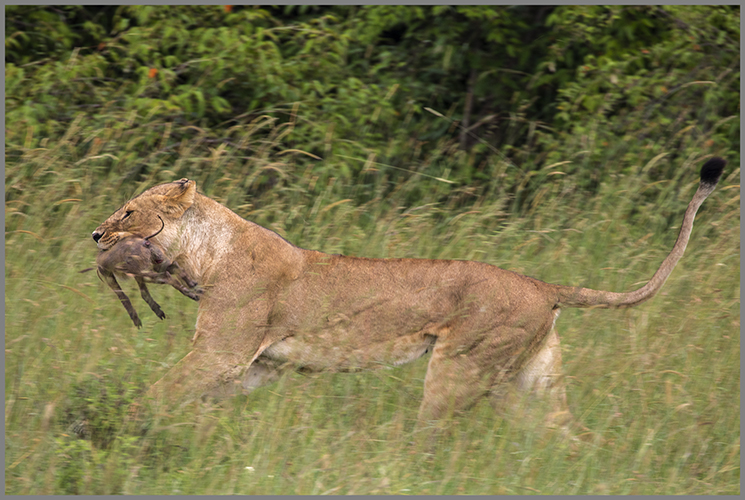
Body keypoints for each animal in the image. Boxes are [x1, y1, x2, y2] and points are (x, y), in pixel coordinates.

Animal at [91, 157, 725, 427]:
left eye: (128, 211)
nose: (95, 236)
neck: (206, 252)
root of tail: (540, 283)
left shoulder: (221, 353)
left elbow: (158, 394)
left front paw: (120, 430)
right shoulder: (255, 365)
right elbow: (191, 403)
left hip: (460, 369)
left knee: (432, 436)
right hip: (533, 380)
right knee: (566, 439)